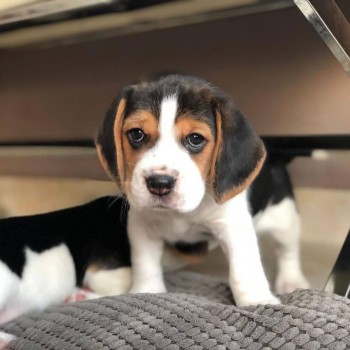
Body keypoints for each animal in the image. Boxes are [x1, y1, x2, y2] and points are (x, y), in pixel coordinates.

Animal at [96, 74, 308, 306]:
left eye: (195, 139)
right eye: (137, 134)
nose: (159, 183)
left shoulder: (232, 225)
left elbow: (244, 268)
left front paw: (257, 301)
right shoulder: (141, 225)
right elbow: (145, 262)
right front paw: (146, 291)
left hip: (284, 218)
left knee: (287, 251)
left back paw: (291, 280)